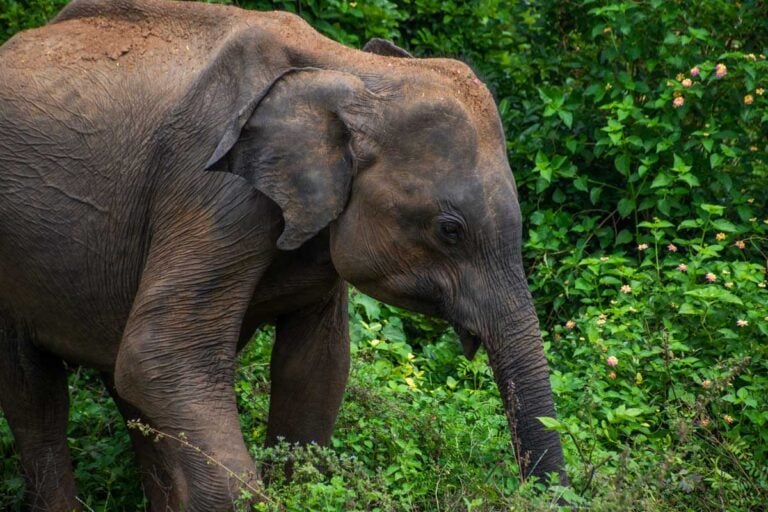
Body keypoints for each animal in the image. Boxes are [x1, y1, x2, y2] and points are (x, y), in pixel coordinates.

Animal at [0, 0, 567, 509]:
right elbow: (157, 355)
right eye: (450, 230)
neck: (346, 69)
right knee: (37, 395)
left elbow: (316, 369)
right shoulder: (211, 187)